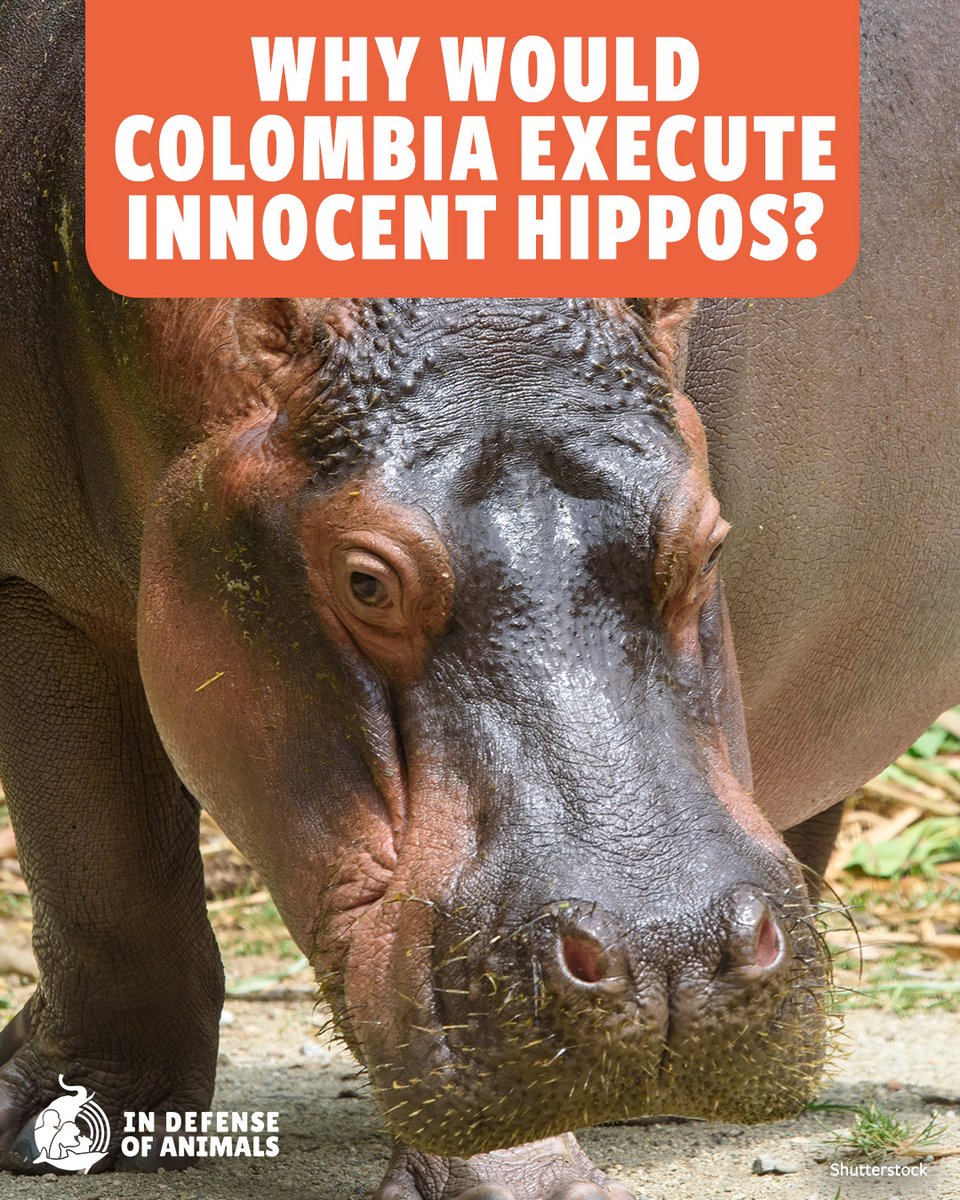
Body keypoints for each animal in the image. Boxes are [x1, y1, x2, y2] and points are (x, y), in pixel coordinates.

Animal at [0, 0, 958, 1197]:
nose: (674, 960)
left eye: (709, 543)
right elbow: (100, 874)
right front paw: (57, 1112)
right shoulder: (37, 585)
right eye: (364, 578)